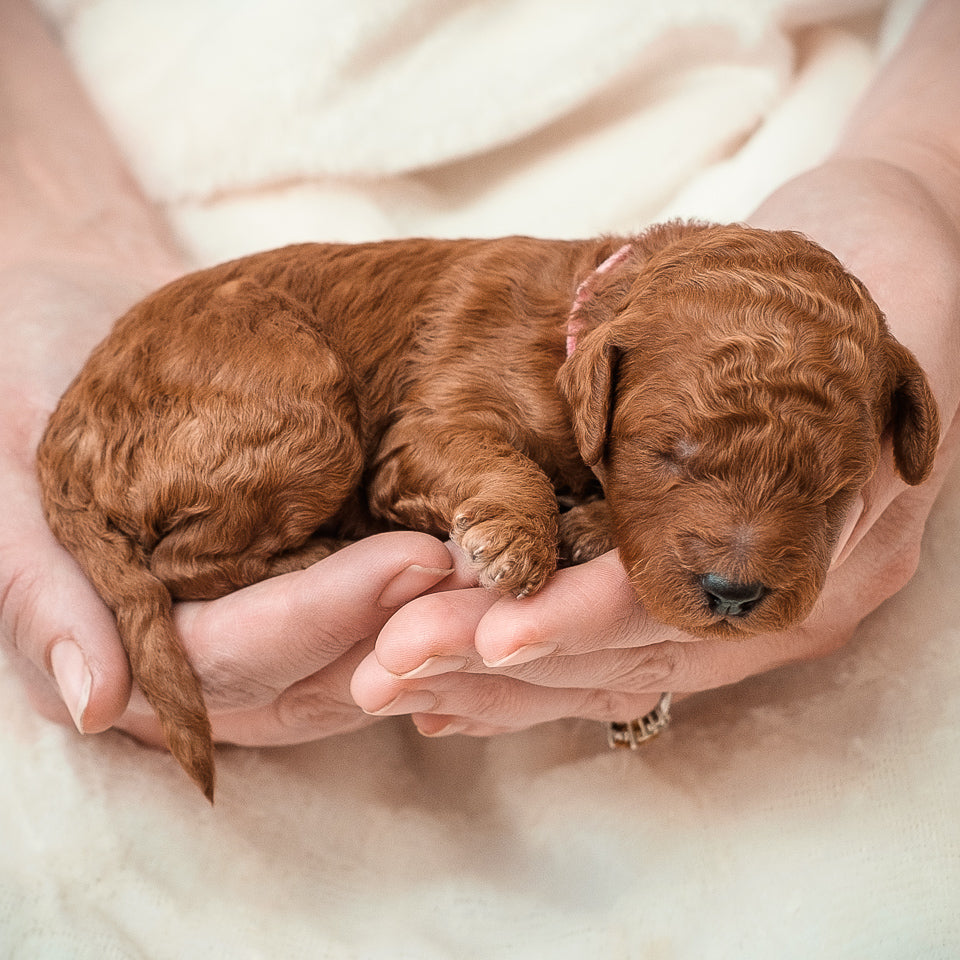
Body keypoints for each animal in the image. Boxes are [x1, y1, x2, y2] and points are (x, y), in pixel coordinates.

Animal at [35, 221, 936, 800]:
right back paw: (318, 554)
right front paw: (521, 543)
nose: (733, 594)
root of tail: (65, 434)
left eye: (835, 485)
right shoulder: (429, 427)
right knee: (177, 562)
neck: (578, 314)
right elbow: (501, 463)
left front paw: (587, 525)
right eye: (668, 454)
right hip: (300, 409)